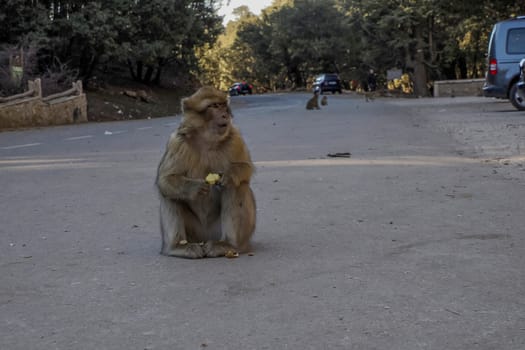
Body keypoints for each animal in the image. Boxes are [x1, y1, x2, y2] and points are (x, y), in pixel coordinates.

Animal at [156, 86, 256, 258]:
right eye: (214, 106)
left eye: (223, 105)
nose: (225, 115)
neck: (207, 138)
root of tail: (205, 237)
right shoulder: (177, 141)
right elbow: (166, 179)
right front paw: (194, 188)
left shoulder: (234, 136)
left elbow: (245, 167)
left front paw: (228, 175)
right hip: (195, 233)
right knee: (170, 195)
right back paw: (177, 246)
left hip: (222, 232)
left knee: (237, 187)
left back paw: (229, 244)